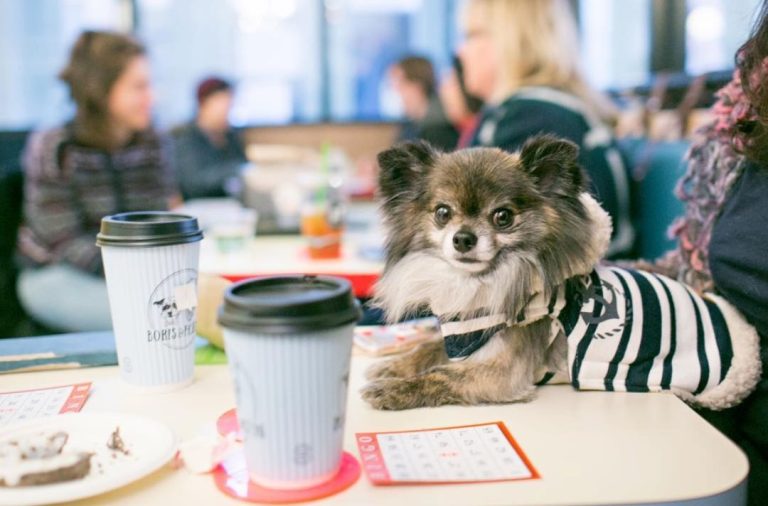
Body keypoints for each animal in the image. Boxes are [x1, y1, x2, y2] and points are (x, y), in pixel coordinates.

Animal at [366, 137, 760, 412]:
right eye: (443, 213)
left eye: (503, 217)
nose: (463, 238)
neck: (484, 285)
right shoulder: (465, 339)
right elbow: (429, 347)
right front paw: (393, 366)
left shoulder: (500, 373)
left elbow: (442, 374)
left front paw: (394, 389)